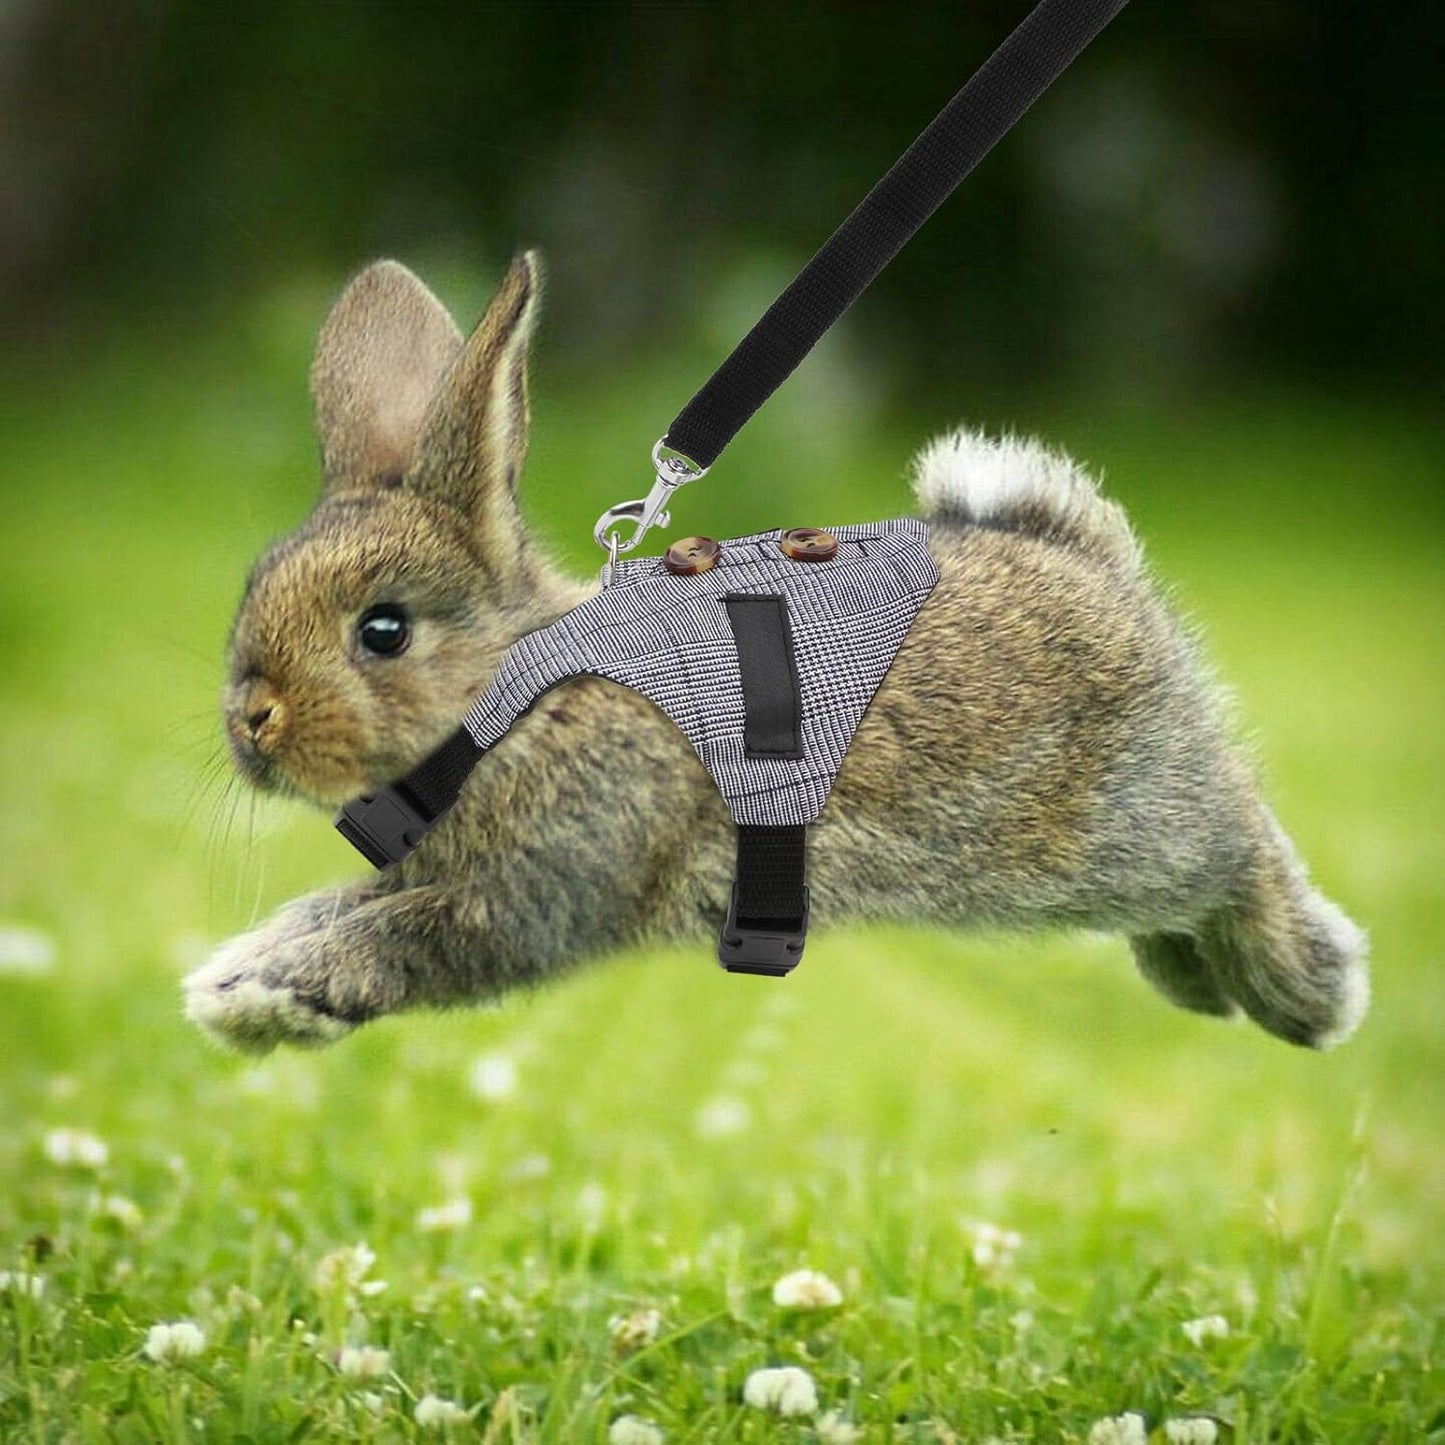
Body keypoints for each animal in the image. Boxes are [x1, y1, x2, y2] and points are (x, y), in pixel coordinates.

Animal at [183, 253, 1370, 1055]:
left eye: (382, 631)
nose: (250, 720)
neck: (516, 696)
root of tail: (1093, 566)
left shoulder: (541, 884)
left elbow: (406, 939)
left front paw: (256, 999)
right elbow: (339, 908)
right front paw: (236, 978)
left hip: (1130, 828)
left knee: (1242, 849)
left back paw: (1309, 987)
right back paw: (1197, 981)